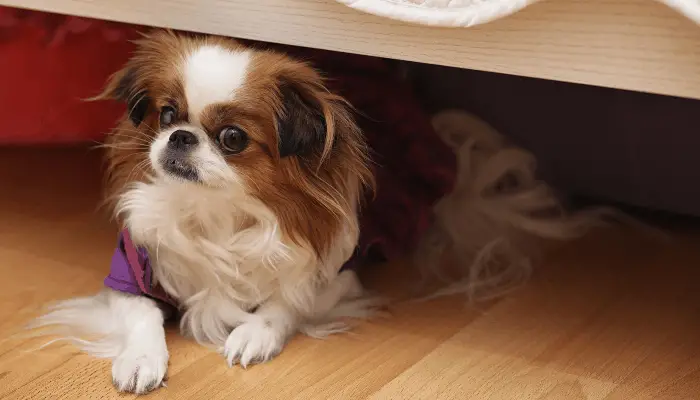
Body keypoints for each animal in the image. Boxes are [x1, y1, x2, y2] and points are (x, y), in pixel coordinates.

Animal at [32, 31, 374, 394]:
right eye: (167, 115)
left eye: (233, 137)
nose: (181, 136)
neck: (213, 213)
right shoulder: (128, 273)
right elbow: (143, 313)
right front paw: (141, 359)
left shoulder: (337, 274)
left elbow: (288, 303)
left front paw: (255, 333)